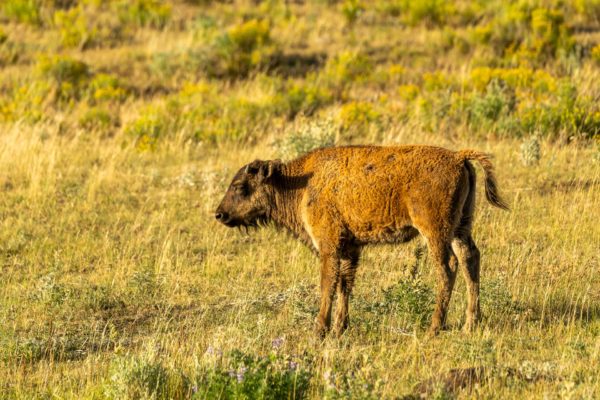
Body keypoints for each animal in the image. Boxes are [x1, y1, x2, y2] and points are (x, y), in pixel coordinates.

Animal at [214, 145, 506, 336]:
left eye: (240, 186)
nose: (220, 214)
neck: (300, 183)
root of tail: (458, 157)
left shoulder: (329, 246)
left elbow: (328, 285)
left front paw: (319, 330)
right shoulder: (350, 249)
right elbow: (345, 285)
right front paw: (339, 329)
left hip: (435, 232)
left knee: (448, 268)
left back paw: (434, 327)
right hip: (461, 228)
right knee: (470, 259)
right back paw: (470, 324)